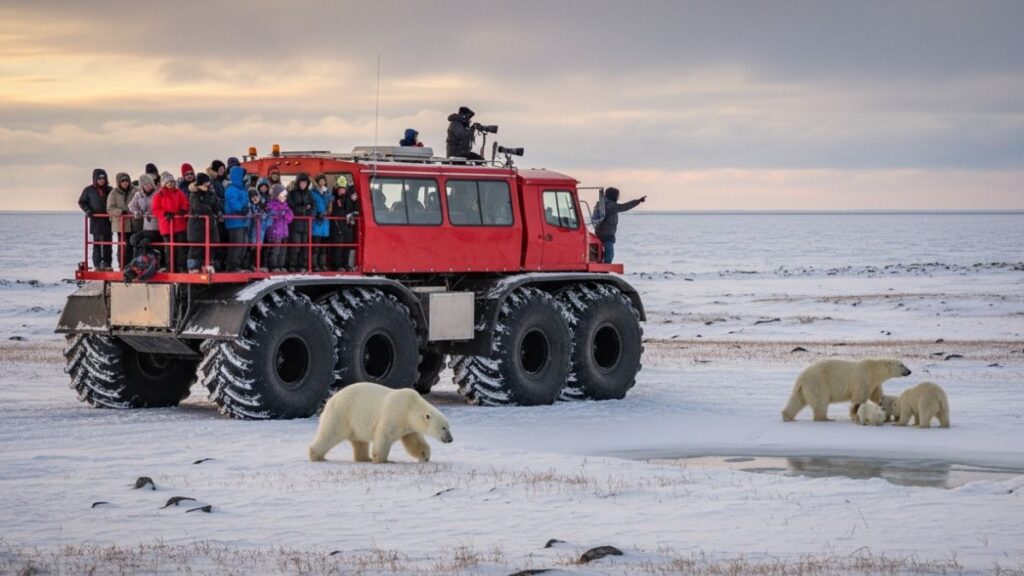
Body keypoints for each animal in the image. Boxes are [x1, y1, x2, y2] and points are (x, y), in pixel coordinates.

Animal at [308, 382, 454, 463]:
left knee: (359, 442)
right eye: (443, 428)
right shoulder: (395, 413)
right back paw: (317, 456)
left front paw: (425, 456)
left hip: (355, 423)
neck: (410, 407)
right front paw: (383, 460)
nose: (450, 439)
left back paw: (365, 458)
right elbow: (384, 435)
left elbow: (414, 442)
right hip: (342, 413)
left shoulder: (409, 426)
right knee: (330, 433)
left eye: (448, 427)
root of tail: (330, 400)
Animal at [781, 358, 912, 422]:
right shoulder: (863, 378)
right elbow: (860, 396)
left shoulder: (873, 382)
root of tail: (801, 378)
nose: (909, 371)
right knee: (820, 401)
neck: (874, 370)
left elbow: (876, 394)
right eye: (901, 365)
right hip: (818, 383)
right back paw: (825, 418)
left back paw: (787, 416)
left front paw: (883, 401)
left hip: (804, 387)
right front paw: (854, 415)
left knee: (796, 400)